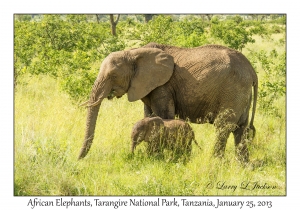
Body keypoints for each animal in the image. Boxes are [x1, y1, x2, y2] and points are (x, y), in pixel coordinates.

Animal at [78, 42, 258, 162]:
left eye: (113, 75)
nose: (79, 159)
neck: (134, 52)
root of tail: (251, 69)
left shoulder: (163, 86)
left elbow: (163, 115)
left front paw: (157, 157)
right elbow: (148, 115)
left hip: (233, 89)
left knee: (224, 126)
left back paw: (215, 162)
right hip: (241, 92)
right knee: (241, 128)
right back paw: (242, 165)